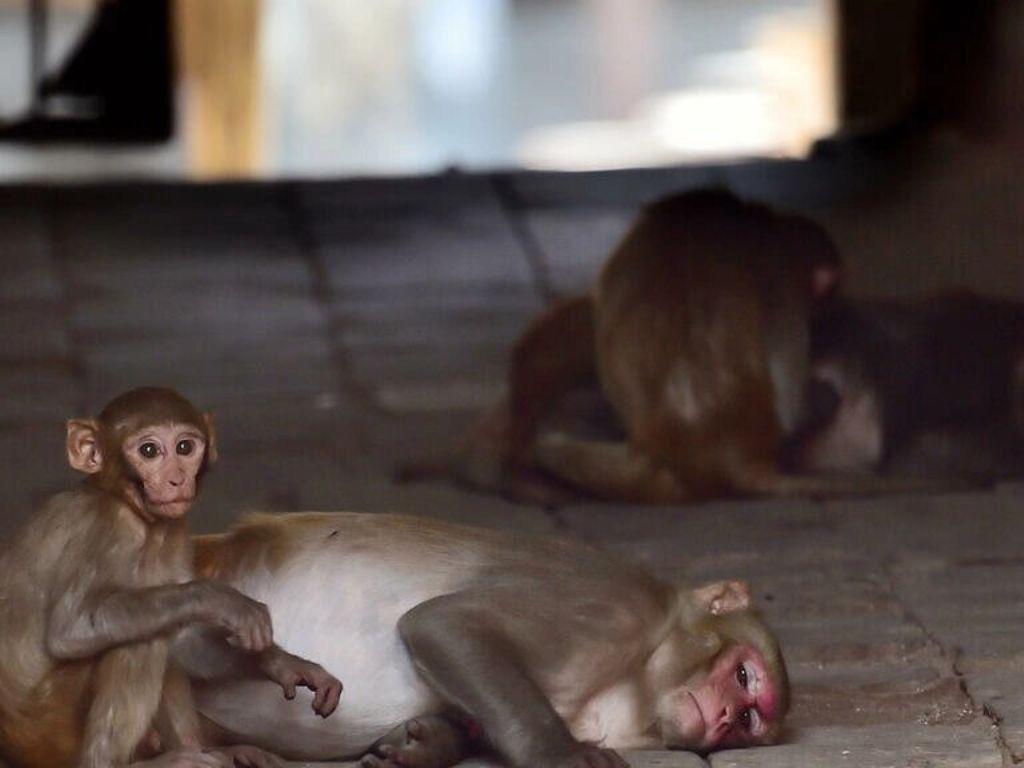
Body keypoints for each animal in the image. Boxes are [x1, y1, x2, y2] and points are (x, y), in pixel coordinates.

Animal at [0, 387, 342, 768]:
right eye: (148, 451)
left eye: (185, 447)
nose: (177, 479)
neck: (132, 510)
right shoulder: (102, 523)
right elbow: (71, 627)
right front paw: (224, 601)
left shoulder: (175, 530)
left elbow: (185, 638)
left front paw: (281, 663)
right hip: (45, 738)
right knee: (136, 639)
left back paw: (203, 750)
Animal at [190, 511, 790, 768]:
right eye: (742, 675)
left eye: (749, 720)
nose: (723, 717)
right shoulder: (609, 607)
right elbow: (444, 622)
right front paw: (560, 756)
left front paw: (422, 745)